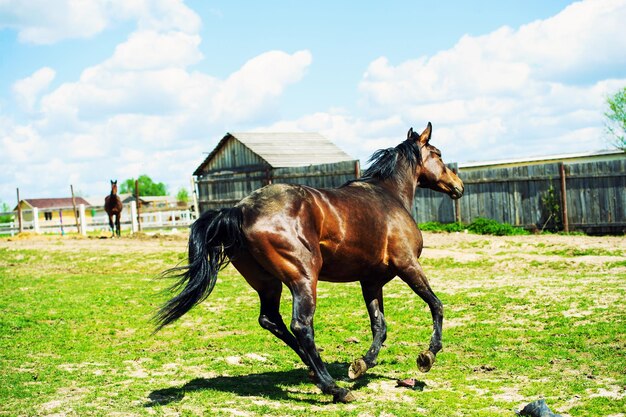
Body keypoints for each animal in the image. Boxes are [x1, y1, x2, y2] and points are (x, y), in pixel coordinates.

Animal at [156, 124, 464, 404]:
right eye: (438, 154)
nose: (458, 186)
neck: (389, 196)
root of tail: (239, 210)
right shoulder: (407, 265)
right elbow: (436, 305)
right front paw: (427, 356)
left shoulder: (371, 281)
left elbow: (380, 326)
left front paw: (361, 365)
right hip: (304, 278)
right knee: (301, 325)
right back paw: (334, 388)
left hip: (267, 283)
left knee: (270, 320)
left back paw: (316, 372)